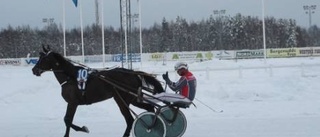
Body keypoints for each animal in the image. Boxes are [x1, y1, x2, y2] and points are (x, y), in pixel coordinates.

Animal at [31, 46, 164, 137]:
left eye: (43, 58)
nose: (34, 70)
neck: (70, 77)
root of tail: (133, 73)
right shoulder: (72, 103)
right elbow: (67, 120)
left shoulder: (73, 102)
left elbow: (67, 120)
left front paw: (84, 128)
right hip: (133, 99)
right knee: (149, 108)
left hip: (121, 100)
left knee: (130, 120)